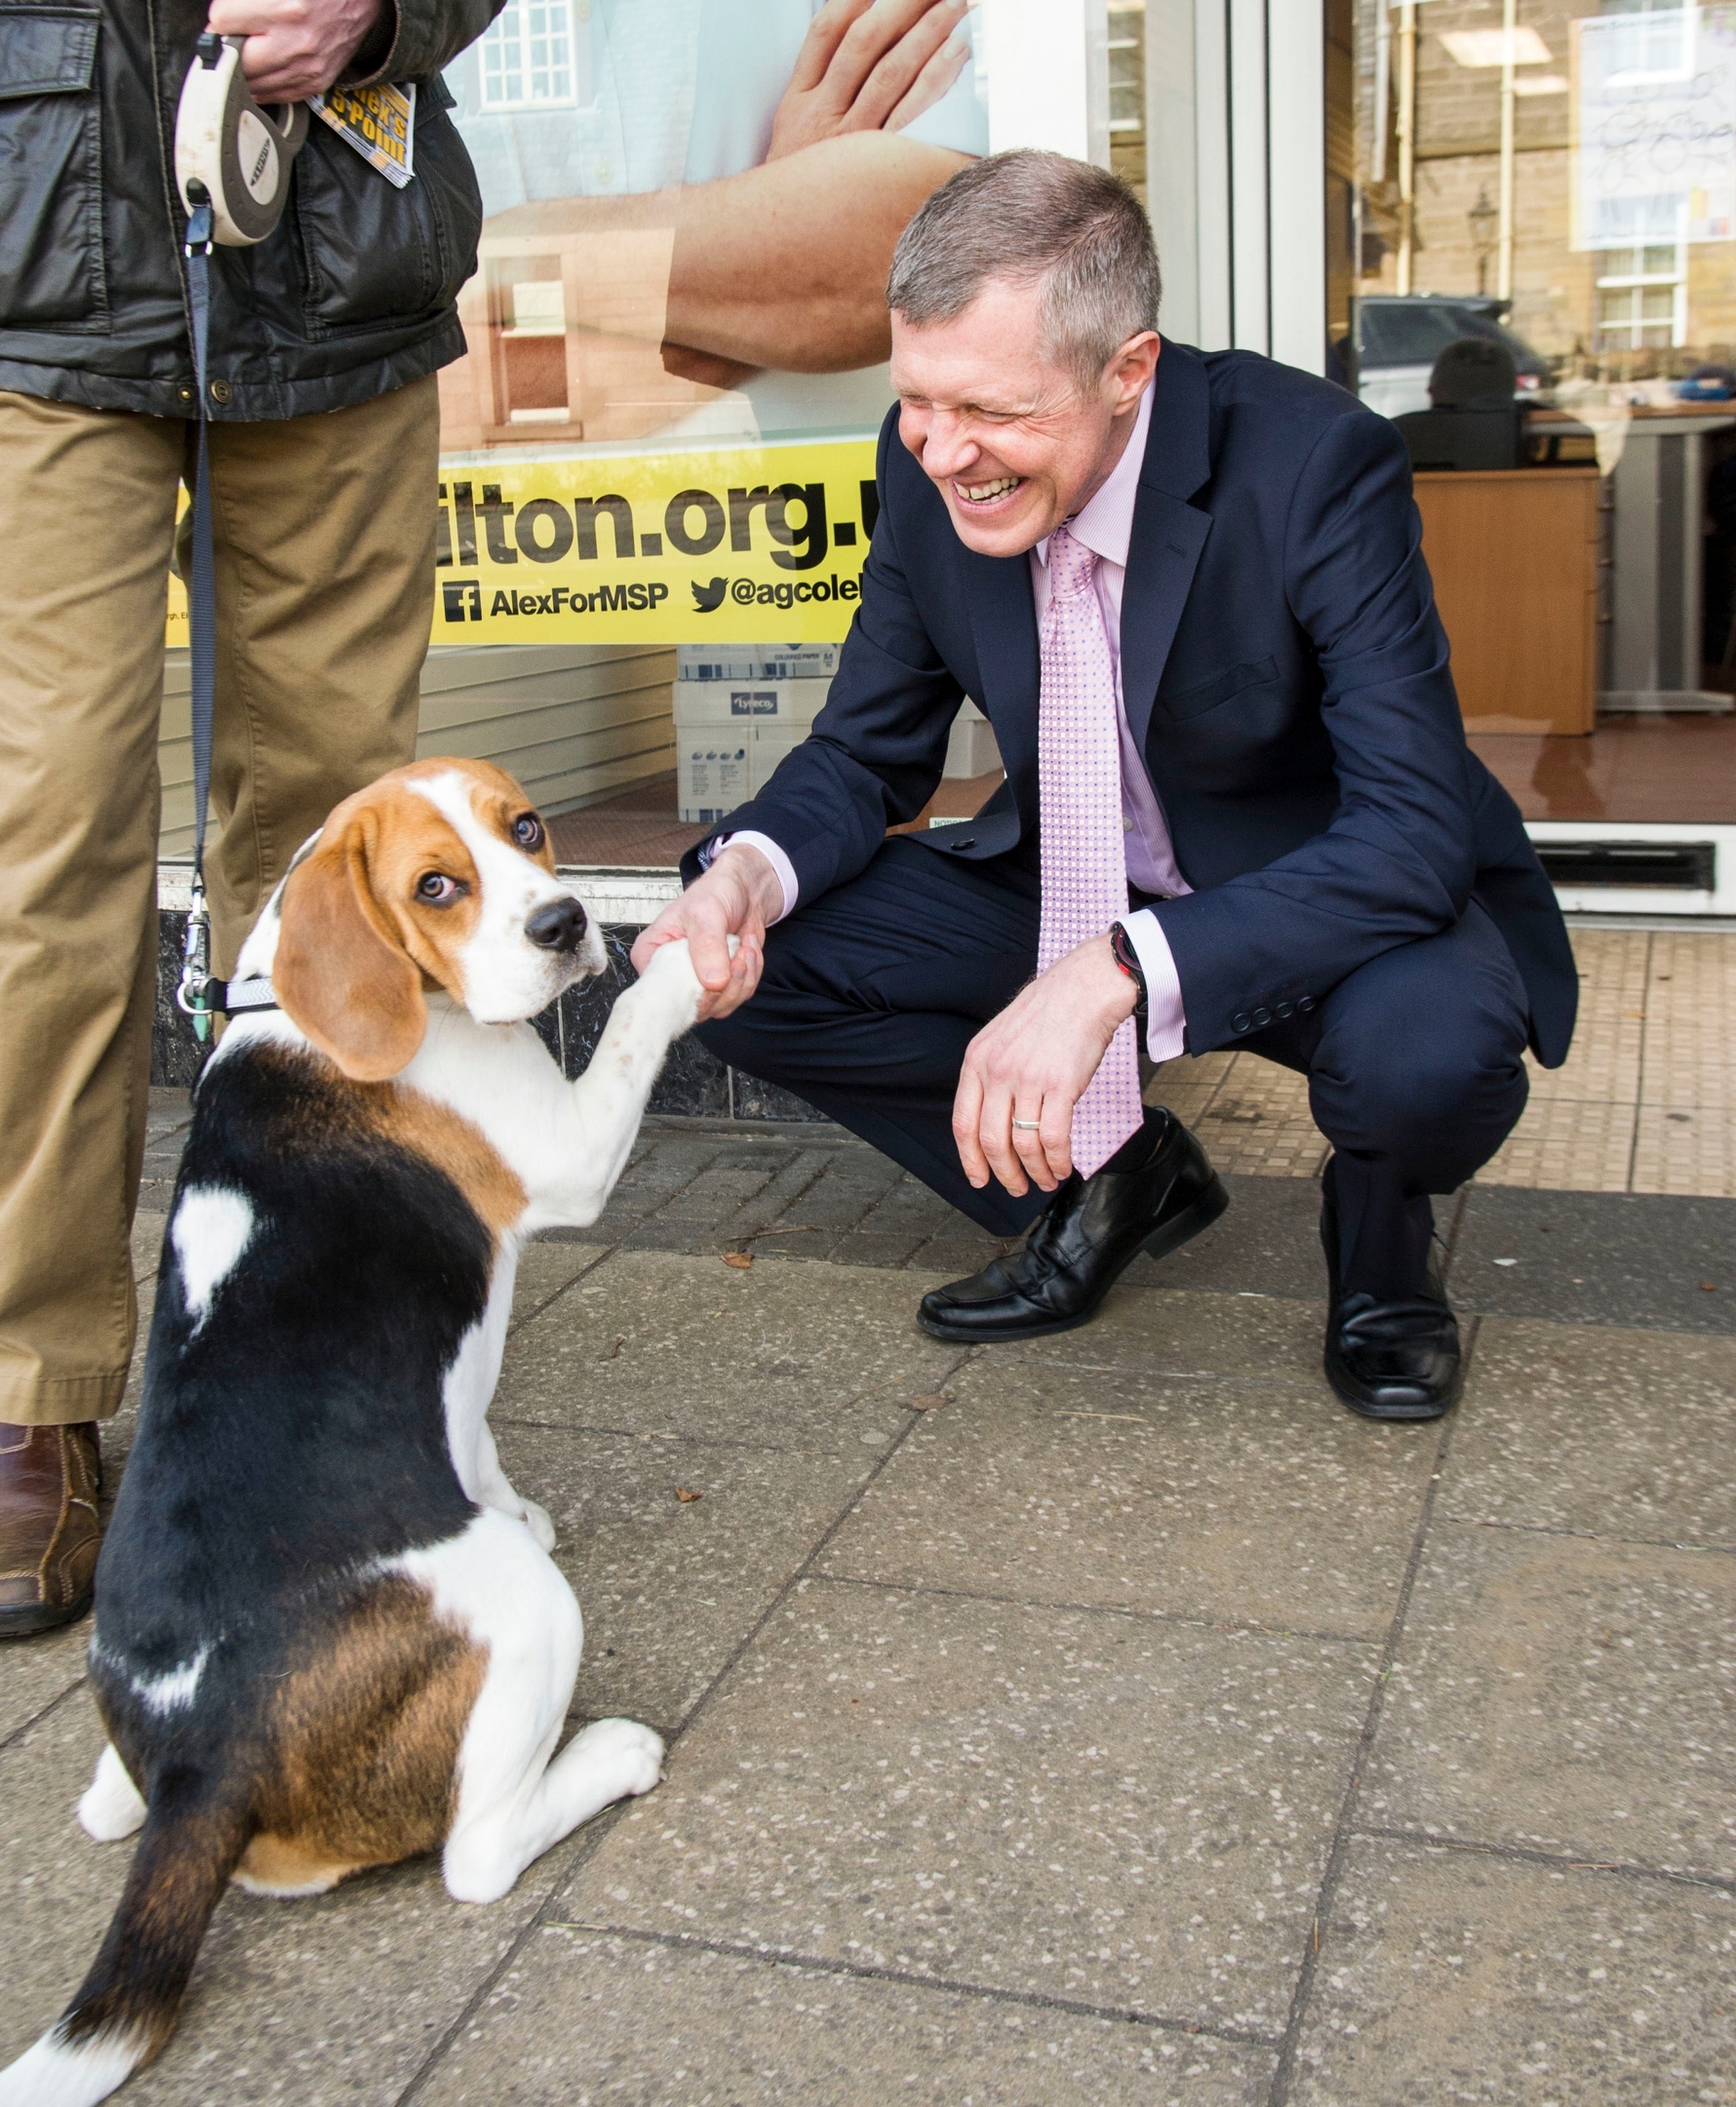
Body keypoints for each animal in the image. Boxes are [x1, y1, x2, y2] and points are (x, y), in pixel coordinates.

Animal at [1, 758, 703, 2107]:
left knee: (106, 1811)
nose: (565, 926)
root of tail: (204, 1762)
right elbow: (643, 1017)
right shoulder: (567, 1149)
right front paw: (693, 956)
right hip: (528, 1615)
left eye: (527, 829)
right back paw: (610, 1755)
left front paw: (503, 1489)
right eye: (435, 886)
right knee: (476, 1855)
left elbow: (470, 1431)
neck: (303, 1007)